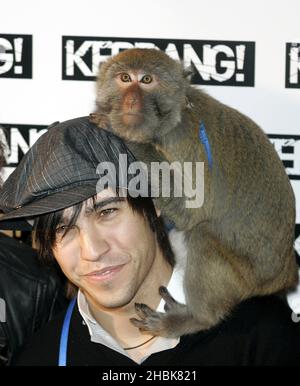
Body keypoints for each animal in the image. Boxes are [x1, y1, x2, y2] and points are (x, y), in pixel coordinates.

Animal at [89, 48, 298, 338]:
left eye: (146, 80)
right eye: (124, 78)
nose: (131, 101)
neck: (169, 122)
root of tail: (284, 274)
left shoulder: (184, 141)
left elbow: (192, 210)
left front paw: (123, 133)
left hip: (245, 278)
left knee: (202, 235)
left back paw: (197, 319)